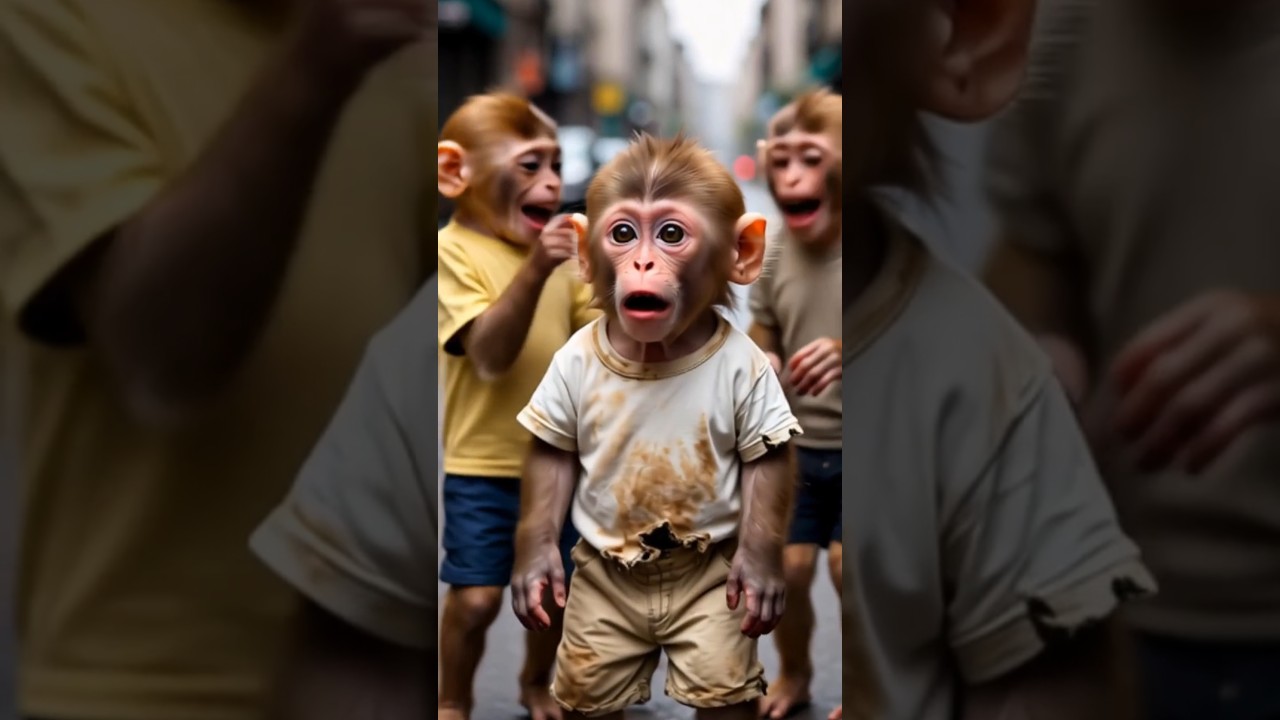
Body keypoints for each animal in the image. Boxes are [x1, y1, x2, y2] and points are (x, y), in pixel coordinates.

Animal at [435, 92, 600, 720]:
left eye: (557, 164)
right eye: (532, 166)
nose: (557, 188)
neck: (498, 238)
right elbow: (483, 344)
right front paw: (548, 252)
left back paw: (537, 693)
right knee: (476, 599)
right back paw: (452, 705)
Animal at [509, 133, 804, 720]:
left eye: (670, 234)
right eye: (623, 233)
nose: (643, 262)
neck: (658, 351)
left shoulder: (756, 376)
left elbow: (767, 463)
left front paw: (762, 578)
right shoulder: (564, 367)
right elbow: (553, 460)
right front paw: (534, 573)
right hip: (599, 622)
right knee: (592, 680)